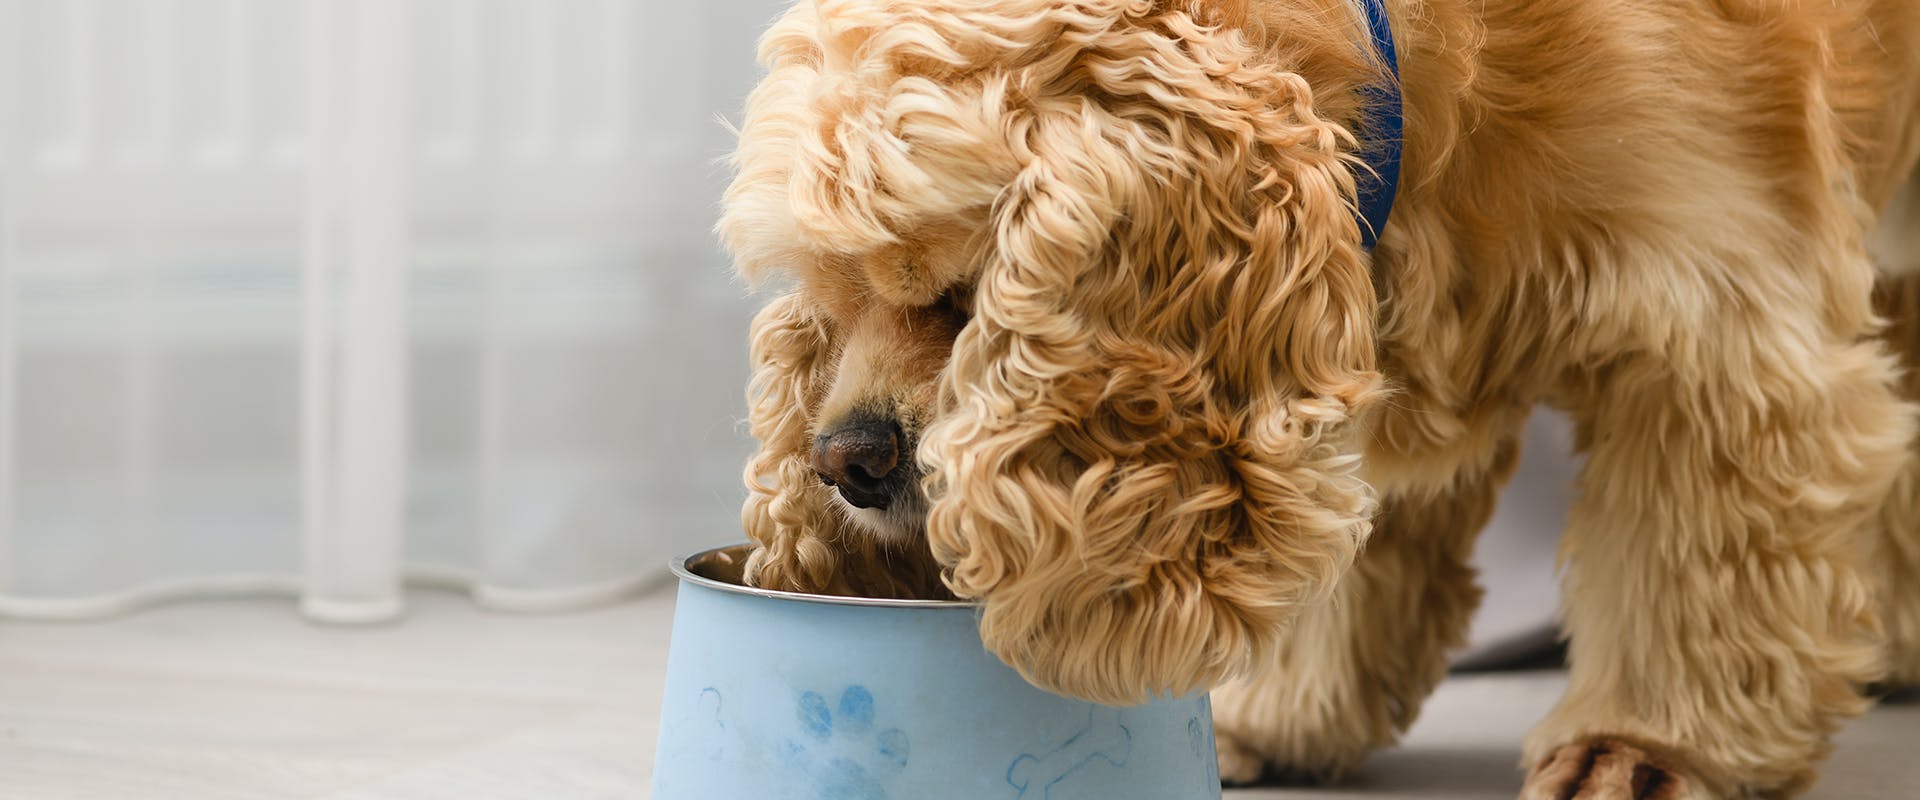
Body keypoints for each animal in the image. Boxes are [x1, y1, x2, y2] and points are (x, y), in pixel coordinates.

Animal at [718, 3, 1920, 794]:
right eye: (831, 300)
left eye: (957, 294)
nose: (844, 460)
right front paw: (1284, 715)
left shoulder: (1722, 314)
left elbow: (1693, 552)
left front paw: (1646, 745)